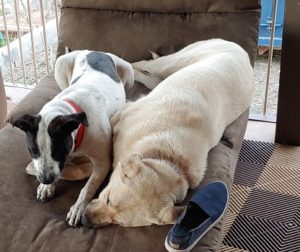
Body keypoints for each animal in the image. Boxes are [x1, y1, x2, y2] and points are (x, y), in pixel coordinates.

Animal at [10, 49, 134, 226]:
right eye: (32, 151)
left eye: (57, 151)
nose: (45, 179)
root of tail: (95, 51)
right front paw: (46, 188)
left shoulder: (103, 162)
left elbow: (88, 187)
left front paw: (78, 207)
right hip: (61, 64)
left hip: (128, 71)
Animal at [81, 38, 254, 227]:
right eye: (108, 199)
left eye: (120, 224)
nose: (85, 221)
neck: (168, 159)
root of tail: (240, 49)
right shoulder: (124, 113)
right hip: (170, 63)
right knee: (143, 63)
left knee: (149, 78)